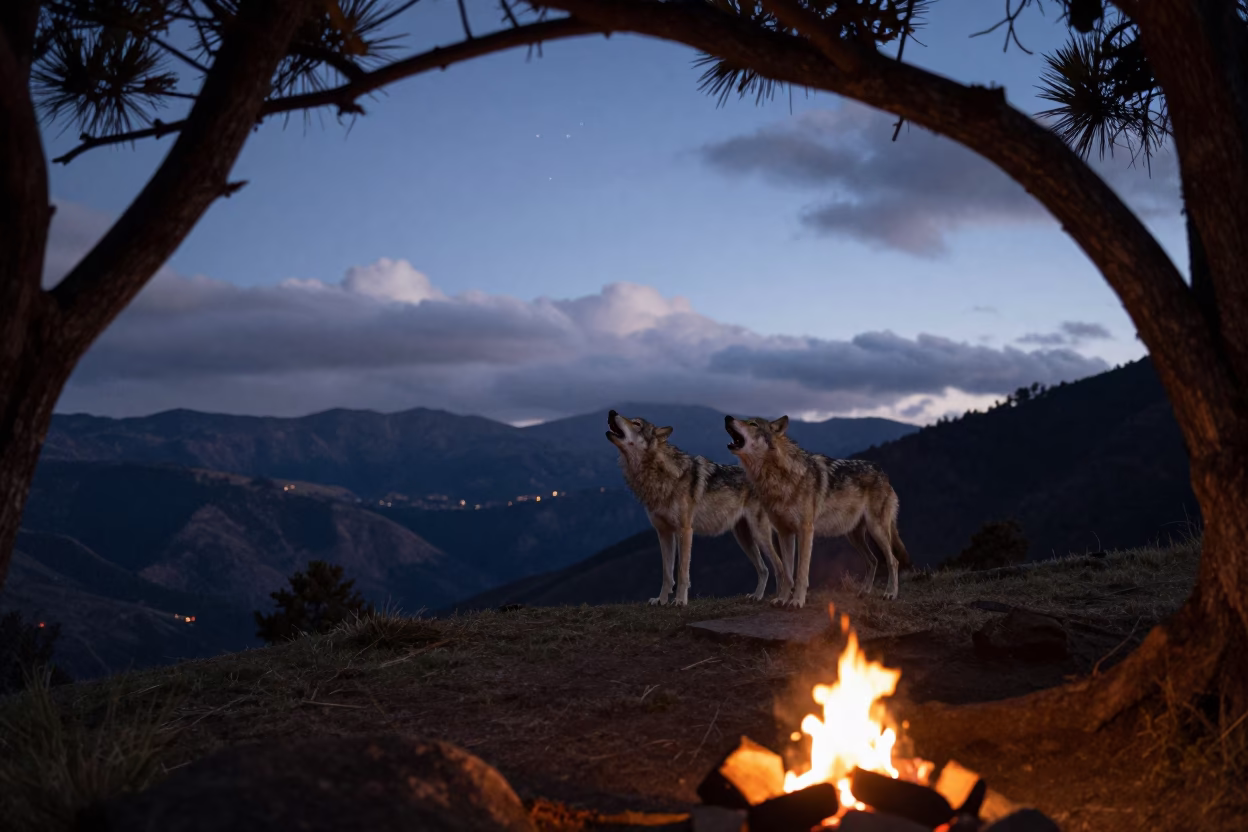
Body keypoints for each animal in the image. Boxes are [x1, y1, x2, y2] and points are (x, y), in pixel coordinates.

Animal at [606, 410, 791, 606]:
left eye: (637, 424)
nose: (612, 412)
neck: (660, 474)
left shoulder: (685, 531)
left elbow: (681, 572)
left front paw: (680, 601)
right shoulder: (664, 533)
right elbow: (666, 574)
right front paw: (661, 601)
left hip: (759, 535)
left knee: (779, 567)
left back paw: (778, 598)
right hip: (744, 538)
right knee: (764, 569)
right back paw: (757, 596)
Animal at [724, 414, 912, 607]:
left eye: (753, 424)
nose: (727, 417)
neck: (778, 477)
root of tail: (883, 473)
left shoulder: (805, 530)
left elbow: (801, 572)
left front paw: (797, 602)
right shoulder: (785, 533)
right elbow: (788, 573)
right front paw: (782, 599)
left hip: (876, 530)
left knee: (893, 561)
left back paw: (890, 593)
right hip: (854, 536)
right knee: (873, 561)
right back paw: (863, 592)